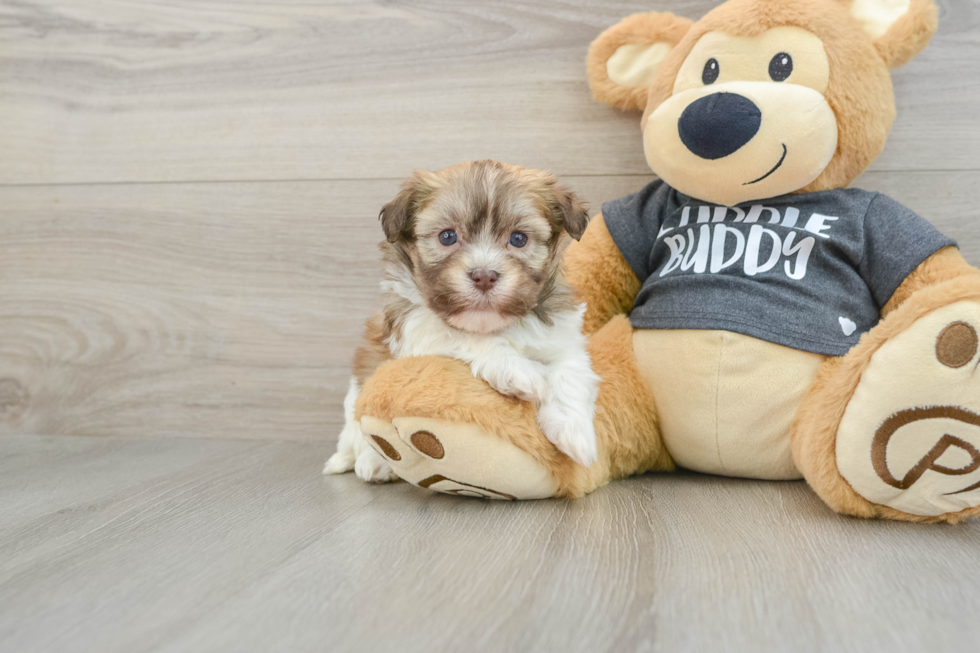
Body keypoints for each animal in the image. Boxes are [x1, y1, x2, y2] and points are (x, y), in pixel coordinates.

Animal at [326, 160, 600, 482]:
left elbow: (569, 372)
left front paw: (575, 434)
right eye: (447, 236)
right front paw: (519, 371)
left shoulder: (561, 337)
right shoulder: (417, 326)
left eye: (518, 238)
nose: (484, 275)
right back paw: (373, 461)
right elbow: (463, 337)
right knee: (357, 434)